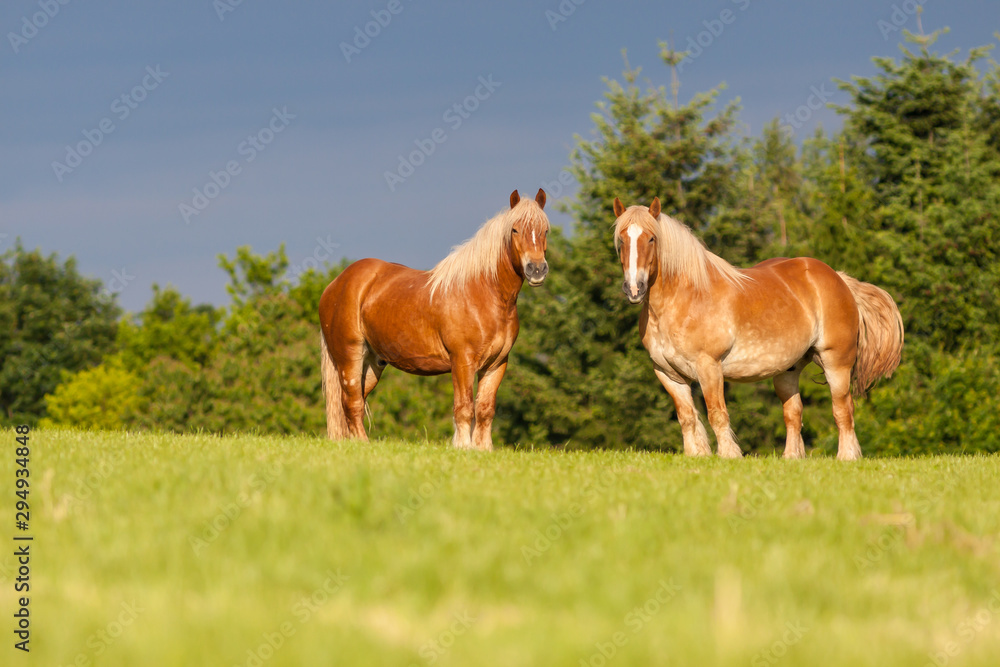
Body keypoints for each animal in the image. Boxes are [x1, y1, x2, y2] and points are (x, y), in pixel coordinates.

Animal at [318, 189, 550, 450]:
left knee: (353, 402)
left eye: (545, 230)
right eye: (515, 230)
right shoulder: (462, 362)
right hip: (350, 357)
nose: (537, 270)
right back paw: (362, 443)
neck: (485, 293)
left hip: (372, 363)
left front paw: (483, 449)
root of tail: (336, 284)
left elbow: (485, 409)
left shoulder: (497, 364)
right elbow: (464, 407)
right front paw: (463, 447)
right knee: (351, 402)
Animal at [612, 197, 904, 460]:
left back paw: (847, 457)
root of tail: (839, 279)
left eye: (651, 239)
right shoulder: (667, 374)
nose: (634, 289)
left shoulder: (709, 366)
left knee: (843, 410)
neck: (687, 297)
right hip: (787, 371)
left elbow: (717, 414)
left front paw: (729, 455)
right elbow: (687, 417)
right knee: (793, 413)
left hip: (836, 363)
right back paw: (791, 458)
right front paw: (696, 456)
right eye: (621, 241)